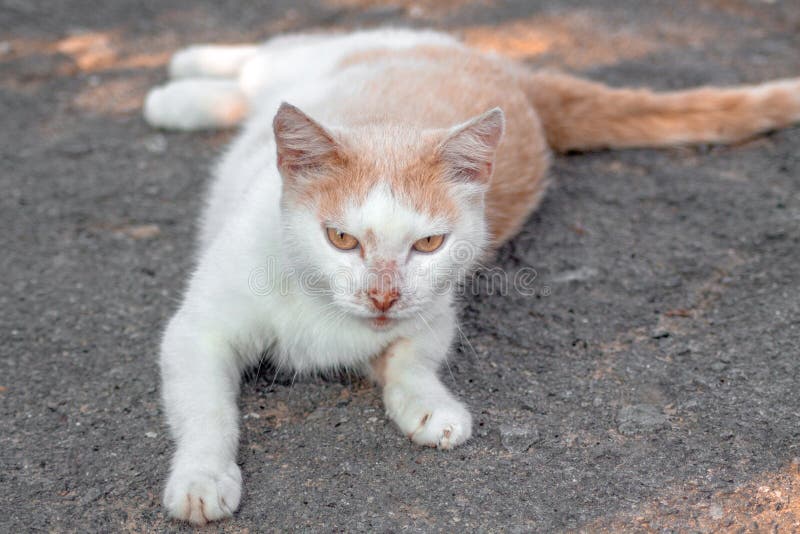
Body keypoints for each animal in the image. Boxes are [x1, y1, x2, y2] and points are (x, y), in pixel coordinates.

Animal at [144, 27, 800, 524]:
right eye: (342, 239)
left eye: (429, 244)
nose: (383, 295)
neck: (320, 306)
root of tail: (510, 71)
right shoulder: (197, 332)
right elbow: (207, 411)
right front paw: (203, 477)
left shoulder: (434, 311)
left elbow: (412, 360)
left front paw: (429, 408)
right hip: (312, 61)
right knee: (266, 56)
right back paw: (180, 79)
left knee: (251, 85)